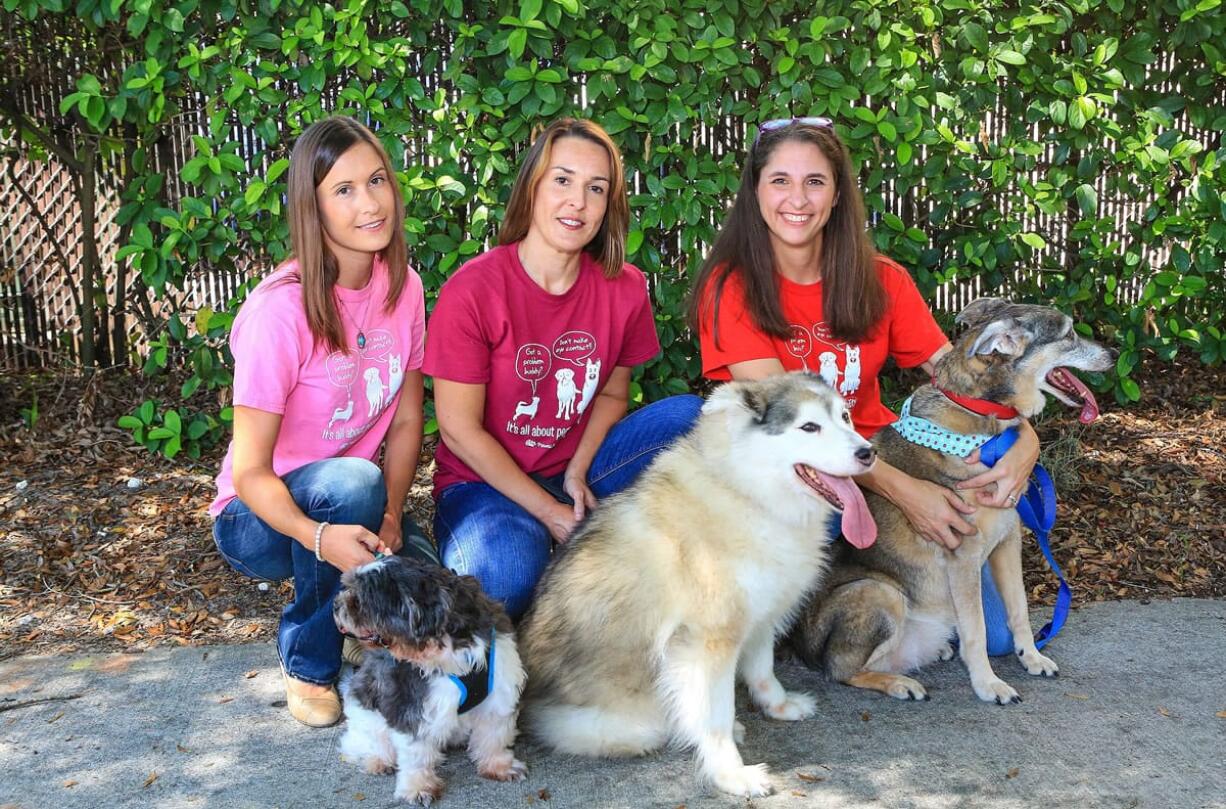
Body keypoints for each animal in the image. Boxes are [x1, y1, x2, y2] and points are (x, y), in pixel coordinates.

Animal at [335, 556, 527, 804]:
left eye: (360, 601)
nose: (336, 605)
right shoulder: (411, 705)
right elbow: (415, 754)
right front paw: (418, 787)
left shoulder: (497, 693)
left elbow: (494, 737)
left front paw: (499, 766)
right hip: (366, 712)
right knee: (370, 741)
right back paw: (378, 760)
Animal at [517, 372, 882, 794]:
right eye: (809, 427)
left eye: (845, 417)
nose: (868, 453)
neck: (746, 492)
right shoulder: (708, 643)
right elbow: (715, 716)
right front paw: (731, 774)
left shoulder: (760, 614)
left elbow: (763, 670)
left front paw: (778, 706)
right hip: (625, 718)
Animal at [789, 299, 1118, 706]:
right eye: (1069, 333)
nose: (1115, 353)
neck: (981, 413)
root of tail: (800, 647)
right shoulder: (963, 557)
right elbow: (977, 631)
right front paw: (988, 684)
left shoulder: (1008, 543)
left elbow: (1019, 610)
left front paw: (1032, 657)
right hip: (880, 593)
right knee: (841, 669)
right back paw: (899, 682)